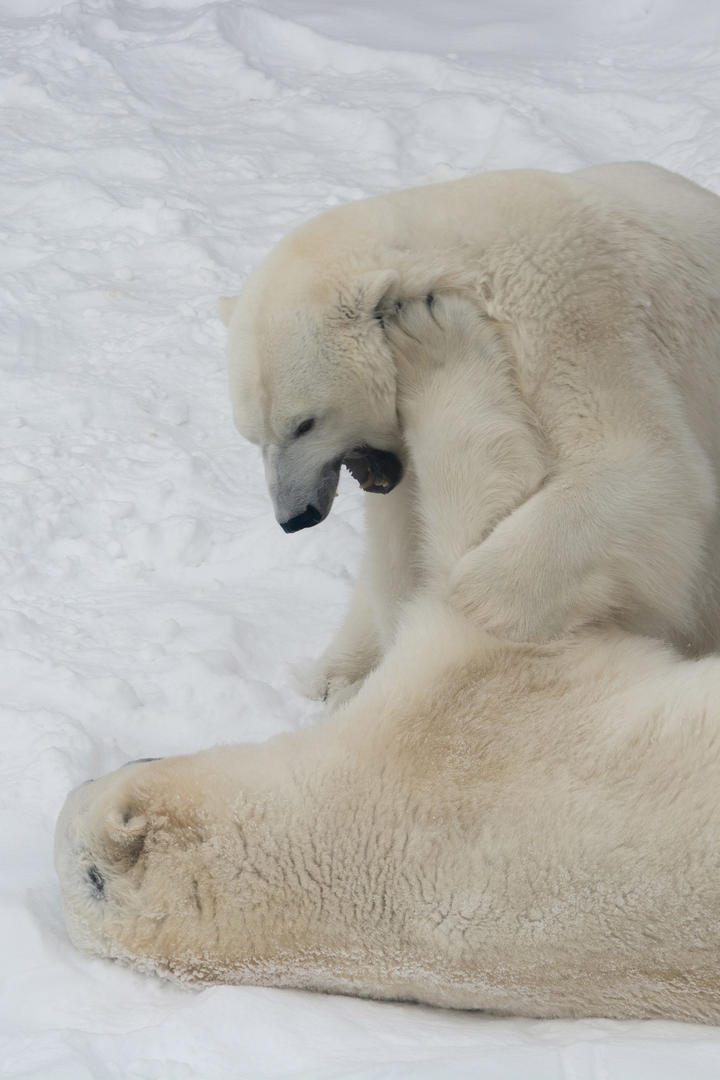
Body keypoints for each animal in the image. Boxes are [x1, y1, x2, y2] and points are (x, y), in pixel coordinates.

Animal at [221, 157, 720, 699]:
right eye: (253, 437)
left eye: (304, 424)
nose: (295, 517)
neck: (459, 267)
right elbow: (402, 538)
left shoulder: (571, 319)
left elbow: (646, 466)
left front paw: (469, 609)